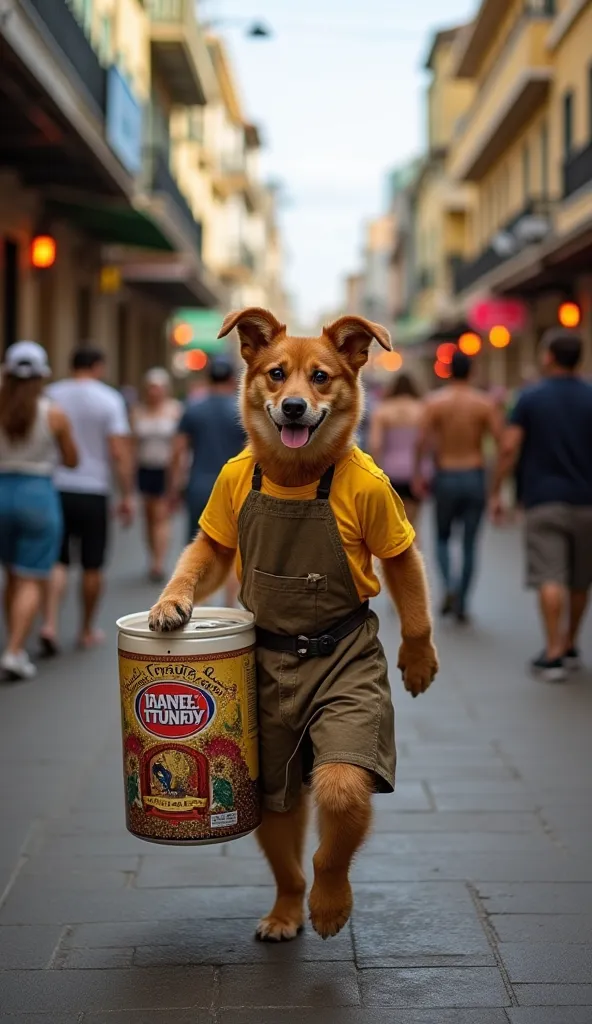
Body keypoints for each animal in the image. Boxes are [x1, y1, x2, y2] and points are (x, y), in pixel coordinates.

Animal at [148, 307, 434, 937]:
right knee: (281, 830)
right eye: (277, 374)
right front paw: (169, 604)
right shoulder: (221, 508)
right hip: (272, 759)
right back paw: (286, 909)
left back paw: (314, 902)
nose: (296, 406)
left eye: (321, 377)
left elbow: (406, 574)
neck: (298, 475)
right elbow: (201, 557)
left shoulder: (381, 505)